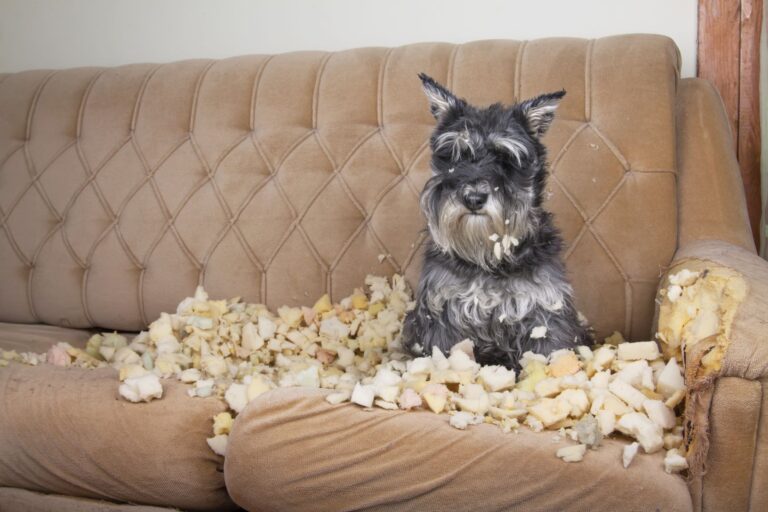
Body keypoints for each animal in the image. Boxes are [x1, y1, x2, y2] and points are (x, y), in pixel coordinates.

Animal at [402, 73, 592, 368]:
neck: (489, 259)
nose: (473, 197)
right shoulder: (441, 315)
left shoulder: (545, 313)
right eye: (454, 156)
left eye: (507, 160)